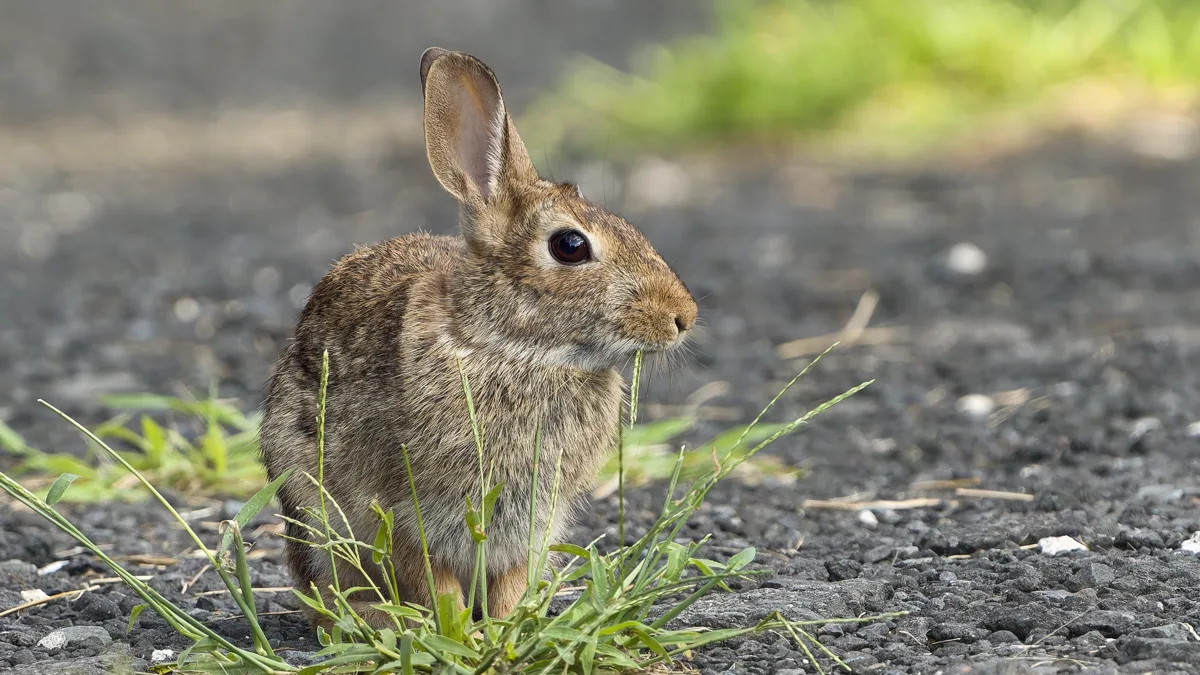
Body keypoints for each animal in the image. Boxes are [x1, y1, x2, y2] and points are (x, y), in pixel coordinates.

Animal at [259, 47, 697, 629]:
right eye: (570, 245)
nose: (683, 316)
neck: (512, 348)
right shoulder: (406, 508)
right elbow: (432, 577)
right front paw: (456, 630)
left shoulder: (533, 521)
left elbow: (509, 581)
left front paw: (506, 625)